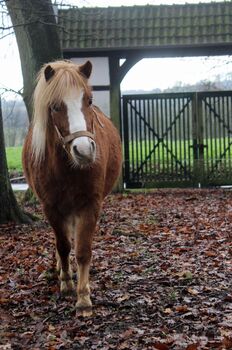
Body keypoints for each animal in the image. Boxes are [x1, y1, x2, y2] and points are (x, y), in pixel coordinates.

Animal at [22, 58, 122, 316]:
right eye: (55, 106)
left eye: (89, 100)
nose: (84, 151)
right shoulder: (51, 208)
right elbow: (64, 245)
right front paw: (66, 283)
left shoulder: (90, 205)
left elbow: (83, 250)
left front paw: (83, 296)